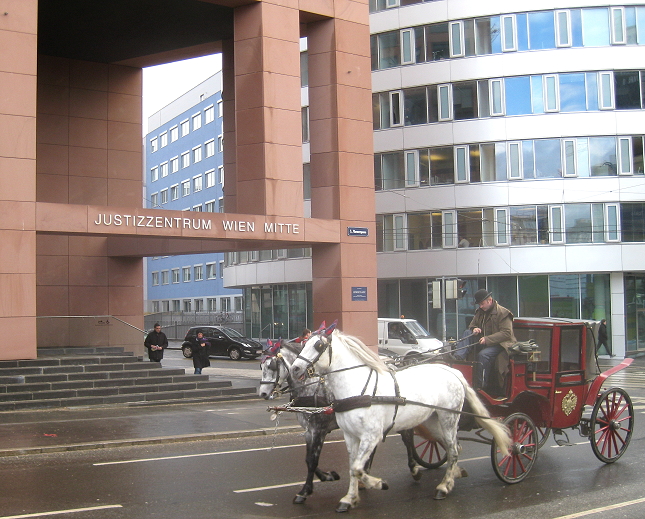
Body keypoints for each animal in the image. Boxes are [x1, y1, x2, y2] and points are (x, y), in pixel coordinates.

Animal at [290, 330, 510, 512]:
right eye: (304, 343)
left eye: (318, 345)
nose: (295, 368)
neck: (357, 388)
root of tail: (452, 371)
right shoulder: (350, 436)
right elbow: (353, 467)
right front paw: (349, 498)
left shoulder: (371, 436)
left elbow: (358, 468)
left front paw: (378, 484)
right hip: (432, 422)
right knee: (453, 448)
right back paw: (453, 475)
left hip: (449, 418)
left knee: (453, 450)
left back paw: (443, 487)